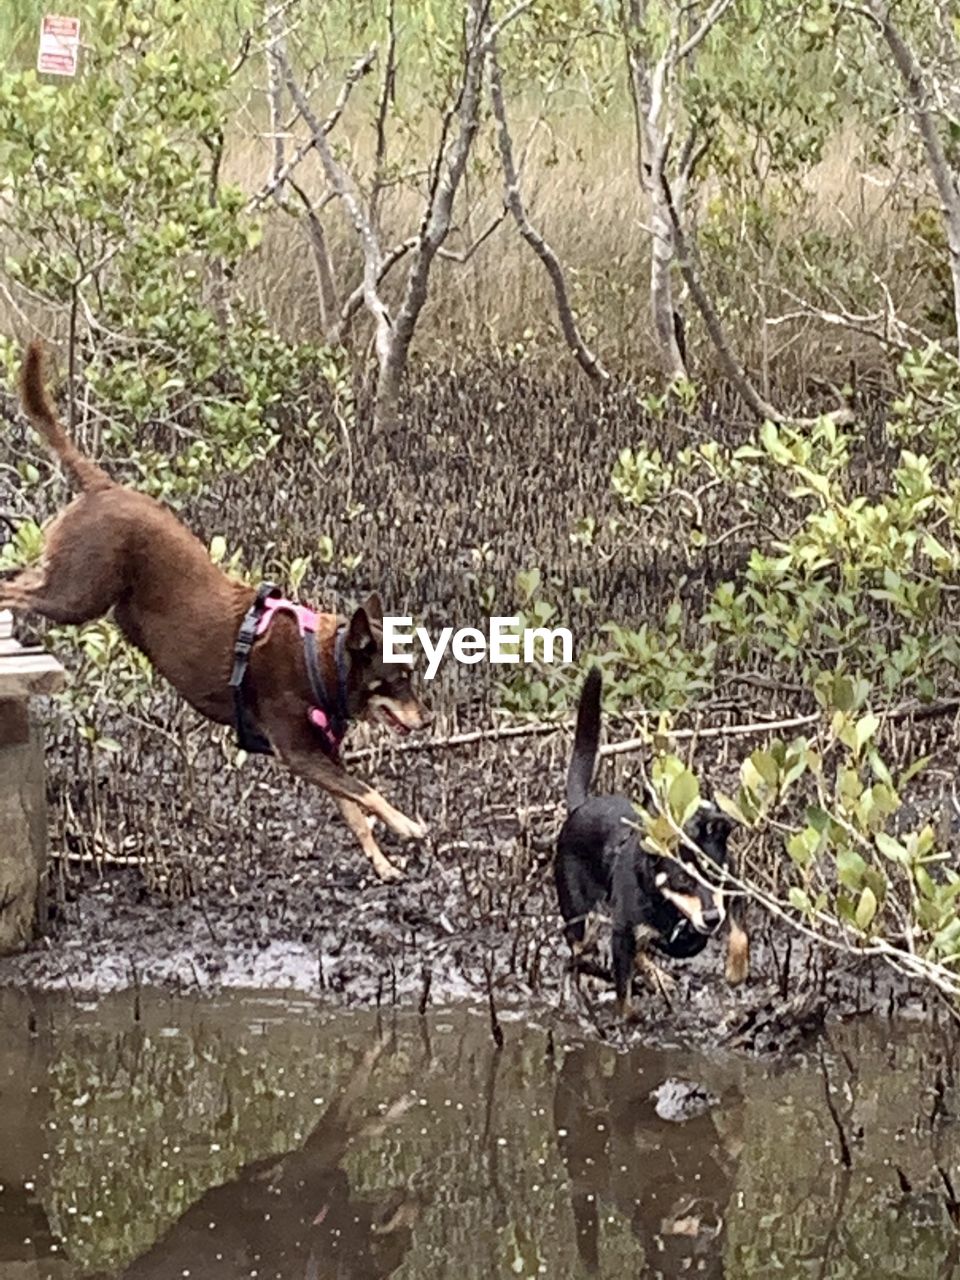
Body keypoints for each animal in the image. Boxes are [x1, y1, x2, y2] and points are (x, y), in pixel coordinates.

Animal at [2, 340, 432, 880]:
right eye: (399, 679)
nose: (428, 721)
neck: (324, 663)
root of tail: (104, 487)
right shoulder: (298, 752)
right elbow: (368, 793)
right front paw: (407, 825)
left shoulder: (320, 757)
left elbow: (354, 811)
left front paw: (381, 862)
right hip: (76, 594)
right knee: (12, 588)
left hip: (67, 585)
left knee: (14, 575)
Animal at [555, 670, 752, 1018]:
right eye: (682, 880)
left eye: (713, 876)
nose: (711, 919)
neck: (670, 906)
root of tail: (580, 807)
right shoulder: (622, 932)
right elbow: (623, 991)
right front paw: (628, 1018)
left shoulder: (732, 890)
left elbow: (739, 934)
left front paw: (735, 971)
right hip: (580, 917)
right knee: (582, 950)